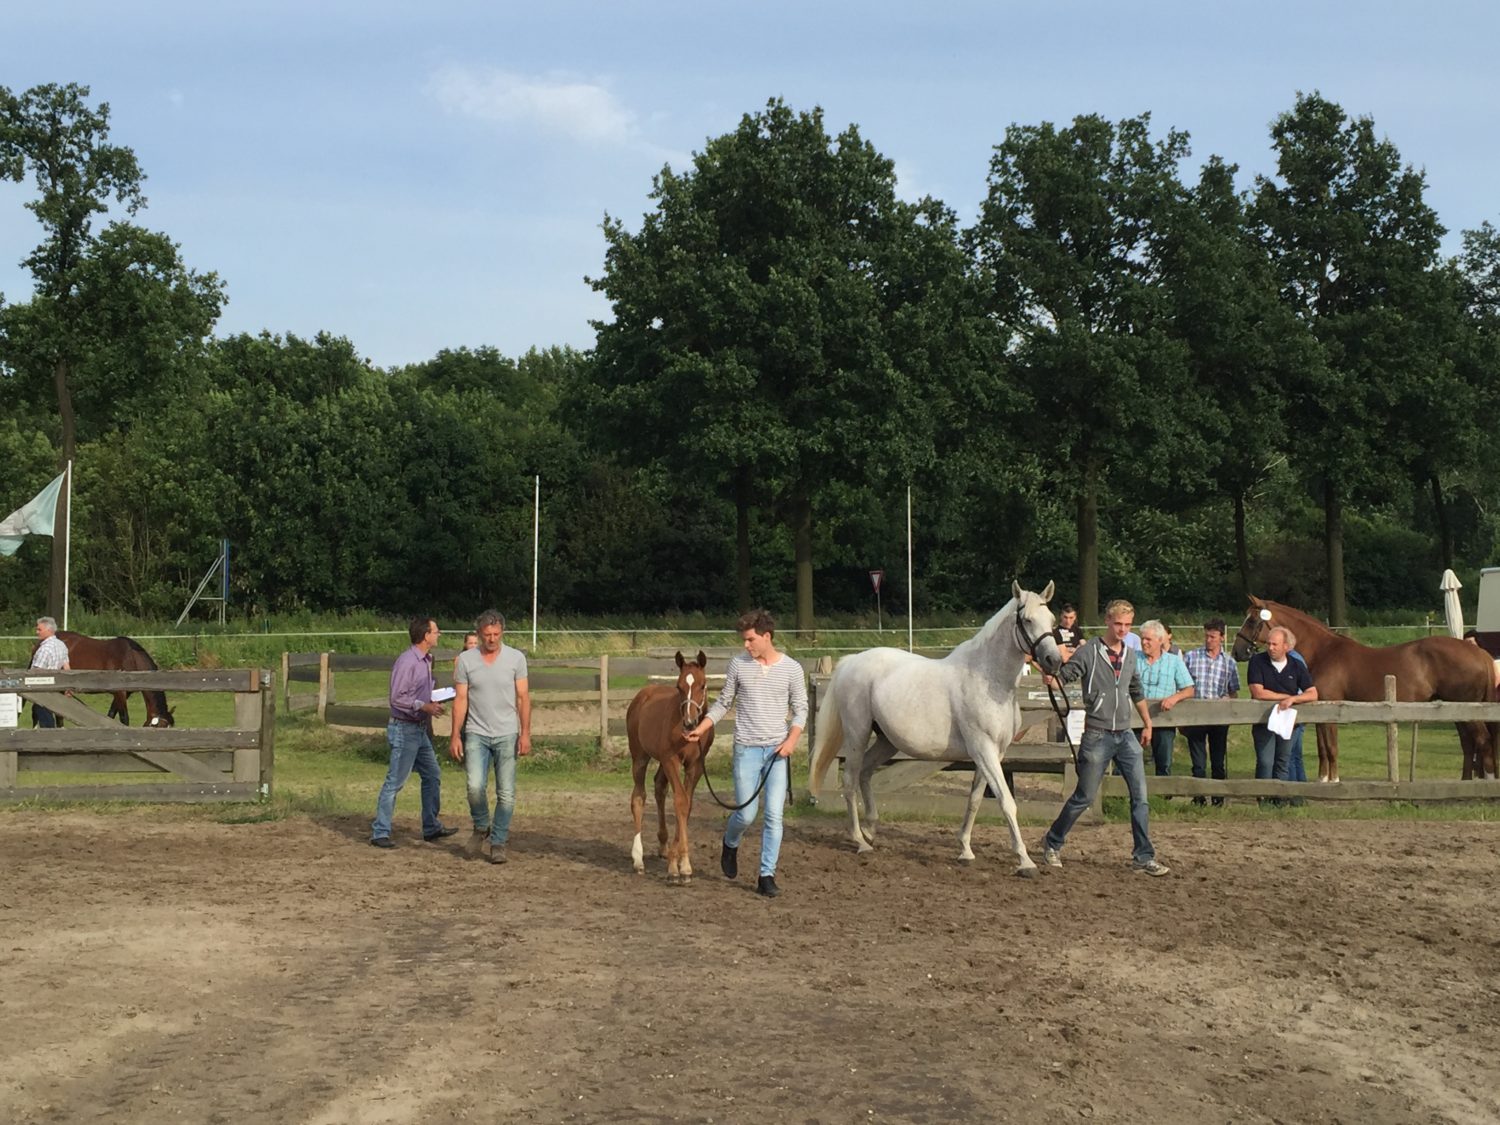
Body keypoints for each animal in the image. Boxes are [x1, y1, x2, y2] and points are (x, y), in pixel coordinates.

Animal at [624, 657, 711, 888]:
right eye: (678, 686)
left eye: (702, 685)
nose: (689, 723)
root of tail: (644, 693)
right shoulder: (672, 760)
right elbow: (680, 800)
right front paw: (680, 869)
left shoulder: (696, 765)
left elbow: (687, 805)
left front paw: (678, 861)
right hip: (640, 756)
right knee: (638, 797)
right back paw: (638, 859)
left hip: (661, 761)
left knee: (659, 787)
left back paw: (663, 846)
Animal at [810, 582, 1068, 882]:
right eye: (1026, 620)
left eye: (1051, 620)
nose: (1053, 661)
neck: (989, 679)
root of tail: (851, 662)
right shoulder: (984, 750)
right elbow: (1006, 801)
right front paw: (1025, 861)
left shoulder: (993, 754)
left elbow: (975, 800)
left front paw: (965, 850)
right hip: (857, 734)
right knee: (850, 780)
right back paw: (860, 841)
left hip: (887, 741)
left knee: (865, 773)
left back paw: (871, 829)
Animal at [1236, 600, 1494, 786]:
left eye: (1252, 620)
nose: (1238, 651)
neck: (1324, 652)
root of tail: (1480, 653)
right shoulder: (1321, 711)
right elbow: (1322, 748)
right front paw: (1322, 779)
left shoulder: (1333, 709)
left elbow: (1331, 747)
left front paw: (1334, 780)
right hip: (1457, 710)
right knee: (1468, 744)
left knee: (1482, 740)